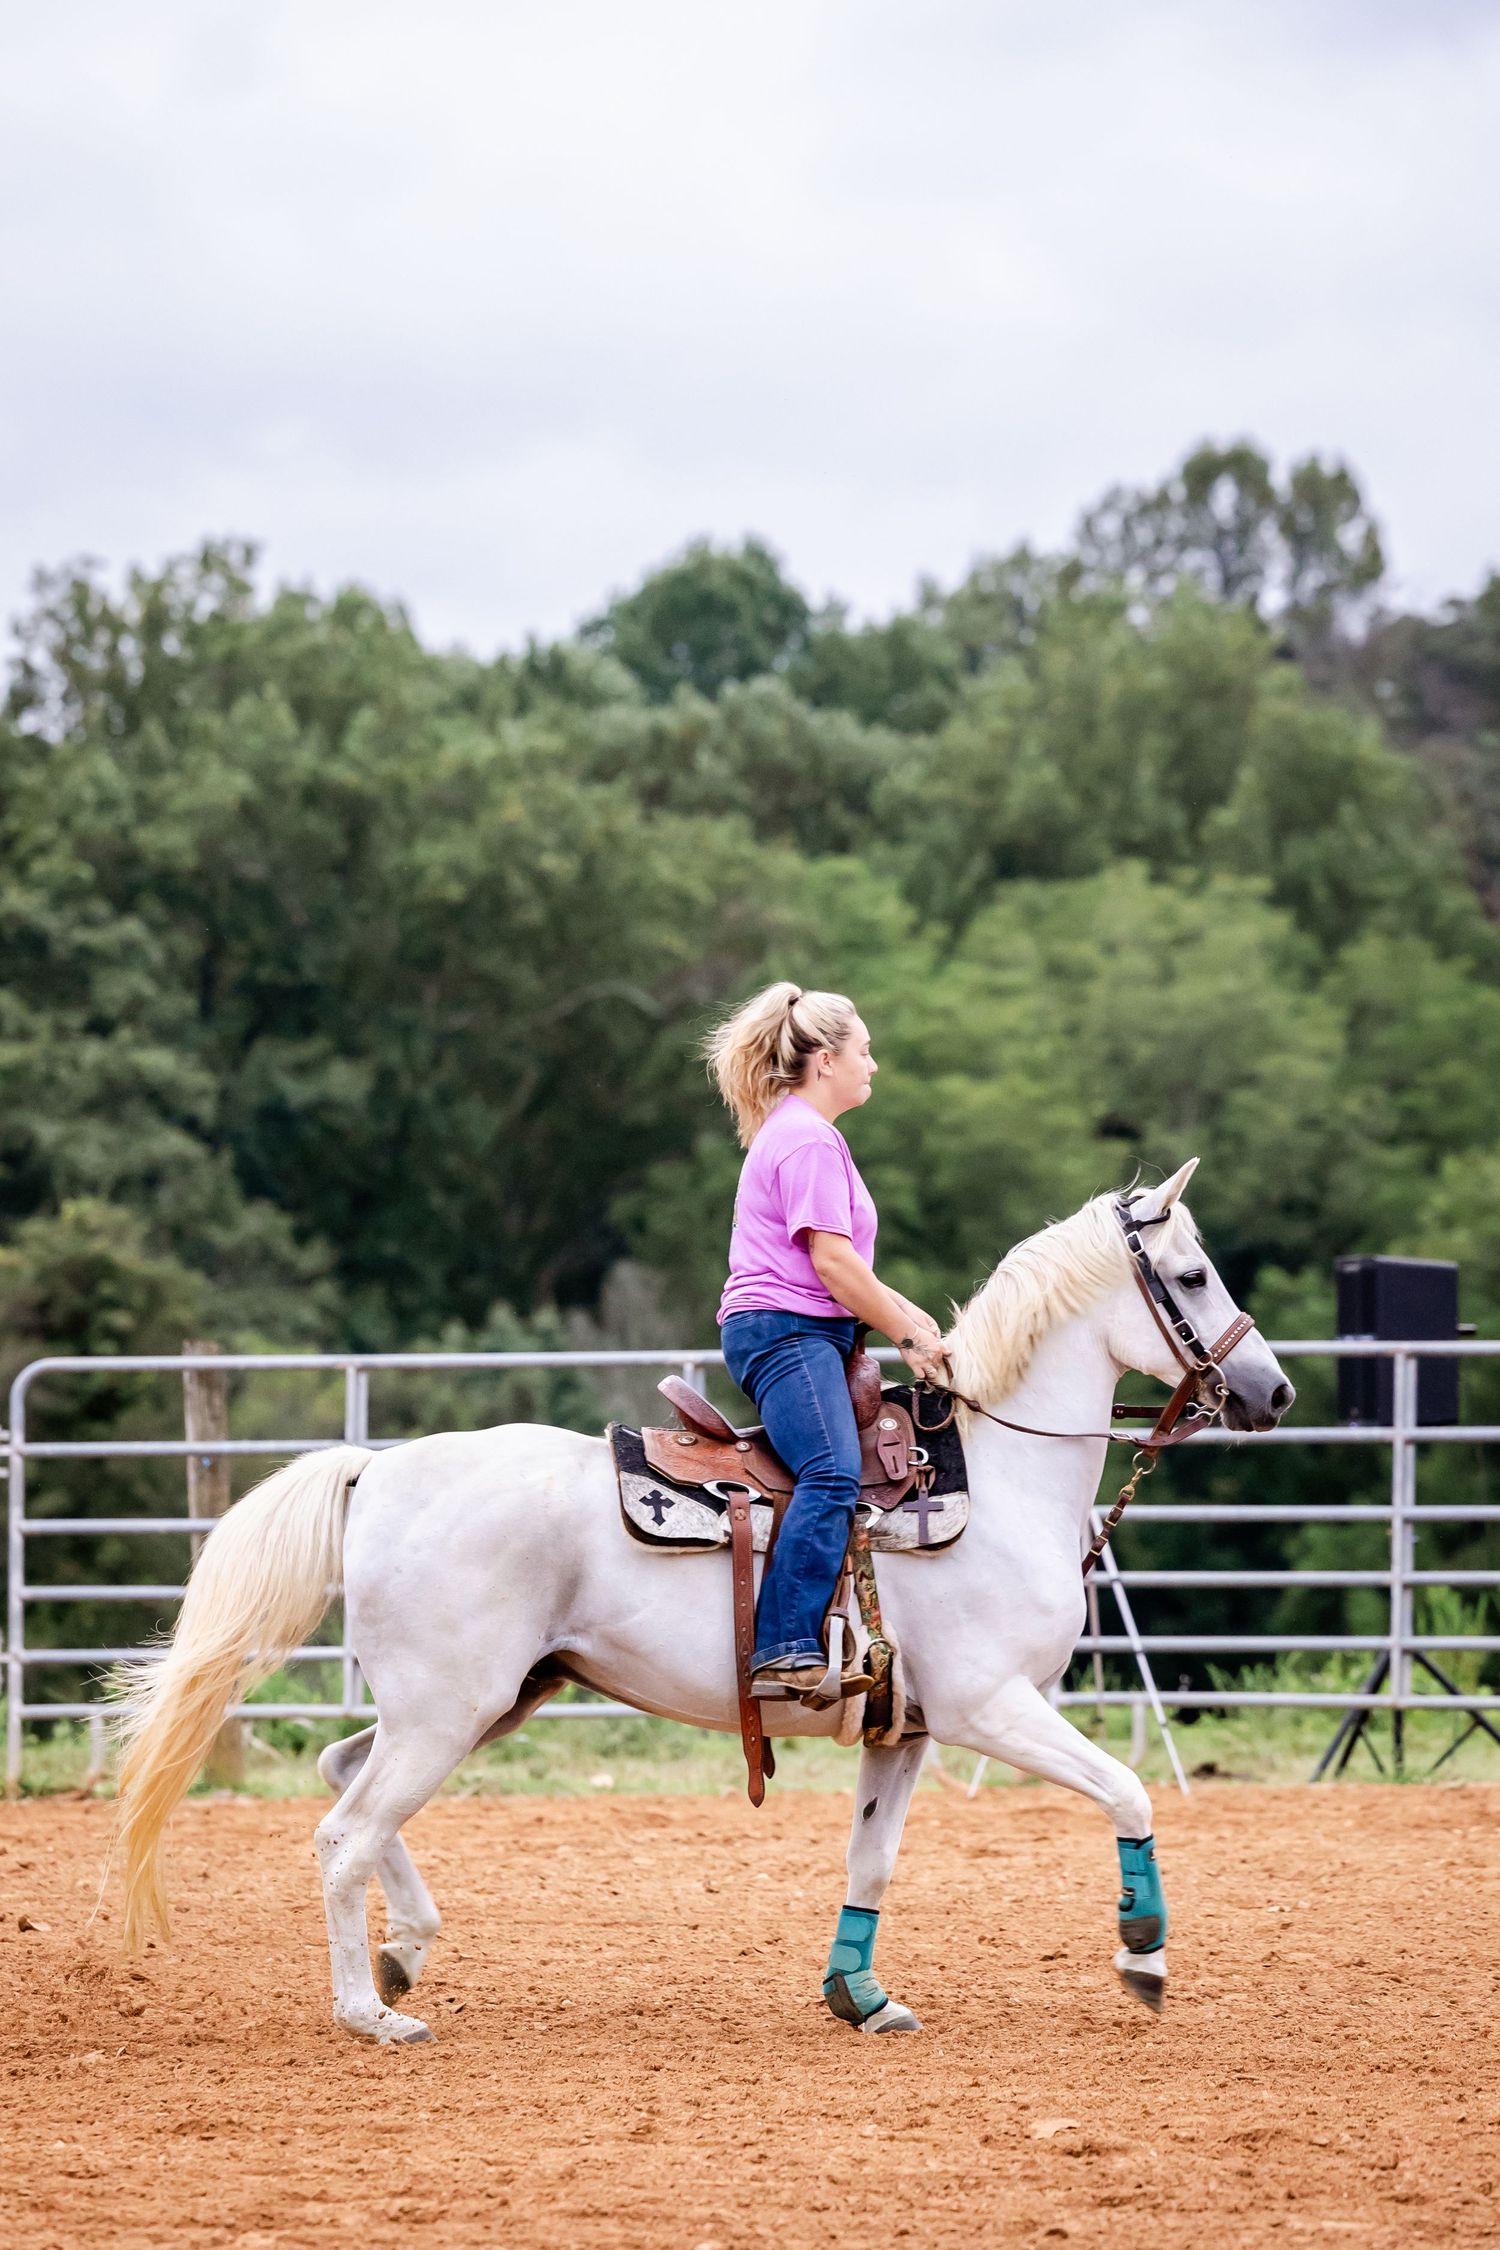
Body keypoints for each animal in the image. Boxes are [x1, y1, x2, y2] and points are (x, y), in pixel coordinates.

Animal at [112, 1157, 1294, 2043]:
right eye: (1191, 1275)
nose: (1274, 1392)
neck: (994, 1477)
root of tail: (382, 1469)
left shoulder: (905, 1729)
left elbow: (871, 1859)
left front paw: (859, 1997)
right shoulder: (989, 1708)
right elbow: (1129, 1791)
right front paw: (1144, 1953)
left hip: (483, 1700)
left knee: (339, 1773)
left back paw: (405, 1950)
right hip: (450, 1710)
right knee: (343, 1832)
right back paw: (370, 2012)